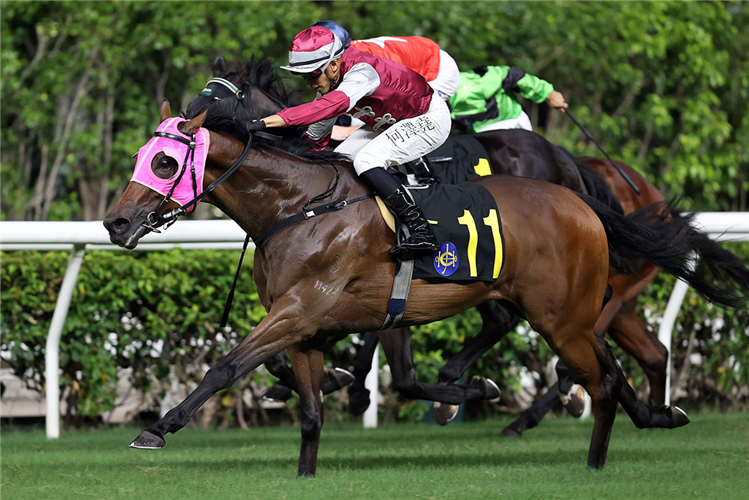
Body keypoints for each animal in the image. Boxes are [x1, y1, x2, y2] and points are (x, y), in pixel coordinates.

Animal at [105, 95, 749, 474]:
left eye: (164, 162)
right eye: (141, 155)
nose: (115, 223)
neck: (298, 206)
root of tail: (585, 199)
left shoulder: (302, 310)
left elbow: (228, 365)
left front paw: (158, 428)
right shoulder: (319, 323)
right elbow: (311, 404)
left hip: (564, 316)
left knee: (599, 377)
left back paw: (585, 448)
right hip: (576, 312)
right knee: (624, 365)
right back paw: (659, 416)